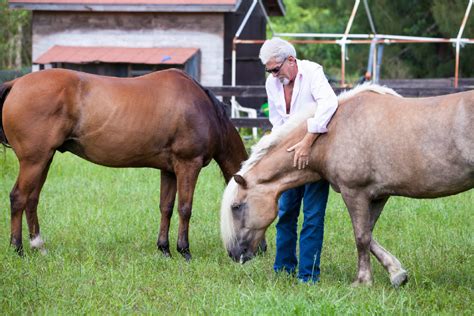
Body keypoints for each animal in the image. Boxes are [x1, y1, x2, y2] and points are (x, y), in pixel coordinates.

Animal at [1, 67, 248, 260]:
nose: (249, 253)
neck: (204, 109)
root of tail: (16, 83)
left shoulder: (169, 170)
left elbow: (166, 208)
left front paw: (164, 249)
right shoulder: (188, 165)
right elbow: (185, 208)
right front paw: (184, 251)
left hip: (45, 159)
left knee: (32, 200)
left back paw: (38, 246)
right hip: (34, 161)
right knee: (18, 198)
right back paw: (18, 249)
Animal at [220, 84, 472, 286]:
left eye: (236, 206)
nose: (234, 254)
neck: (331, 132)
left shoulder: (354, 192)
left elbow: (361, 237)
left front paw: (363, 281)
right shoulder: (378, 196)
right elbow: (369, 235)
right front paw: (396, 273)